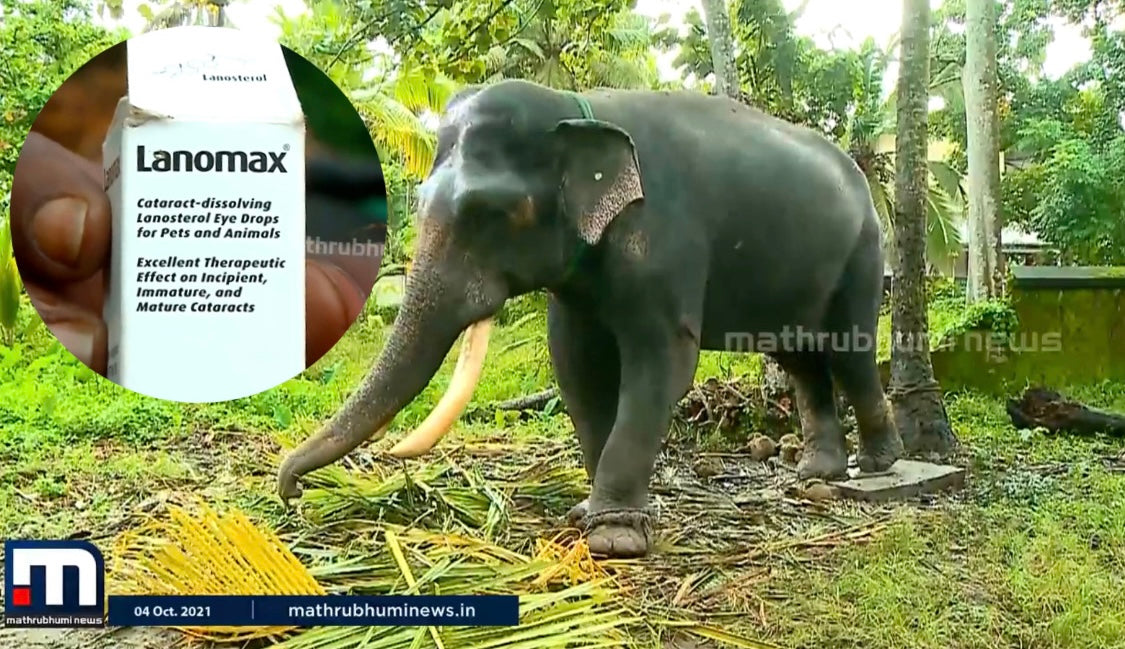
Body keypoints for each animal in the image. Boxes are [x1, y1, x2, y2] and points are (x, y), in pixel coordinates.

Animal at [277, 79, 904, 558]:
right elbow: (576, 364)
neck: (576, 109)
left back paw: (877, 464)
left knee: (848, 349)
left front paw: (614, 539)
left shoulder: (663, 236)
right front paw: (587, 514)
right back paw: (816, 473)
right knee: (799, 356)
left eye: (491, 214)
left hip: (865, 250)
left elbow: (661, 363)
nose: (293, 493)